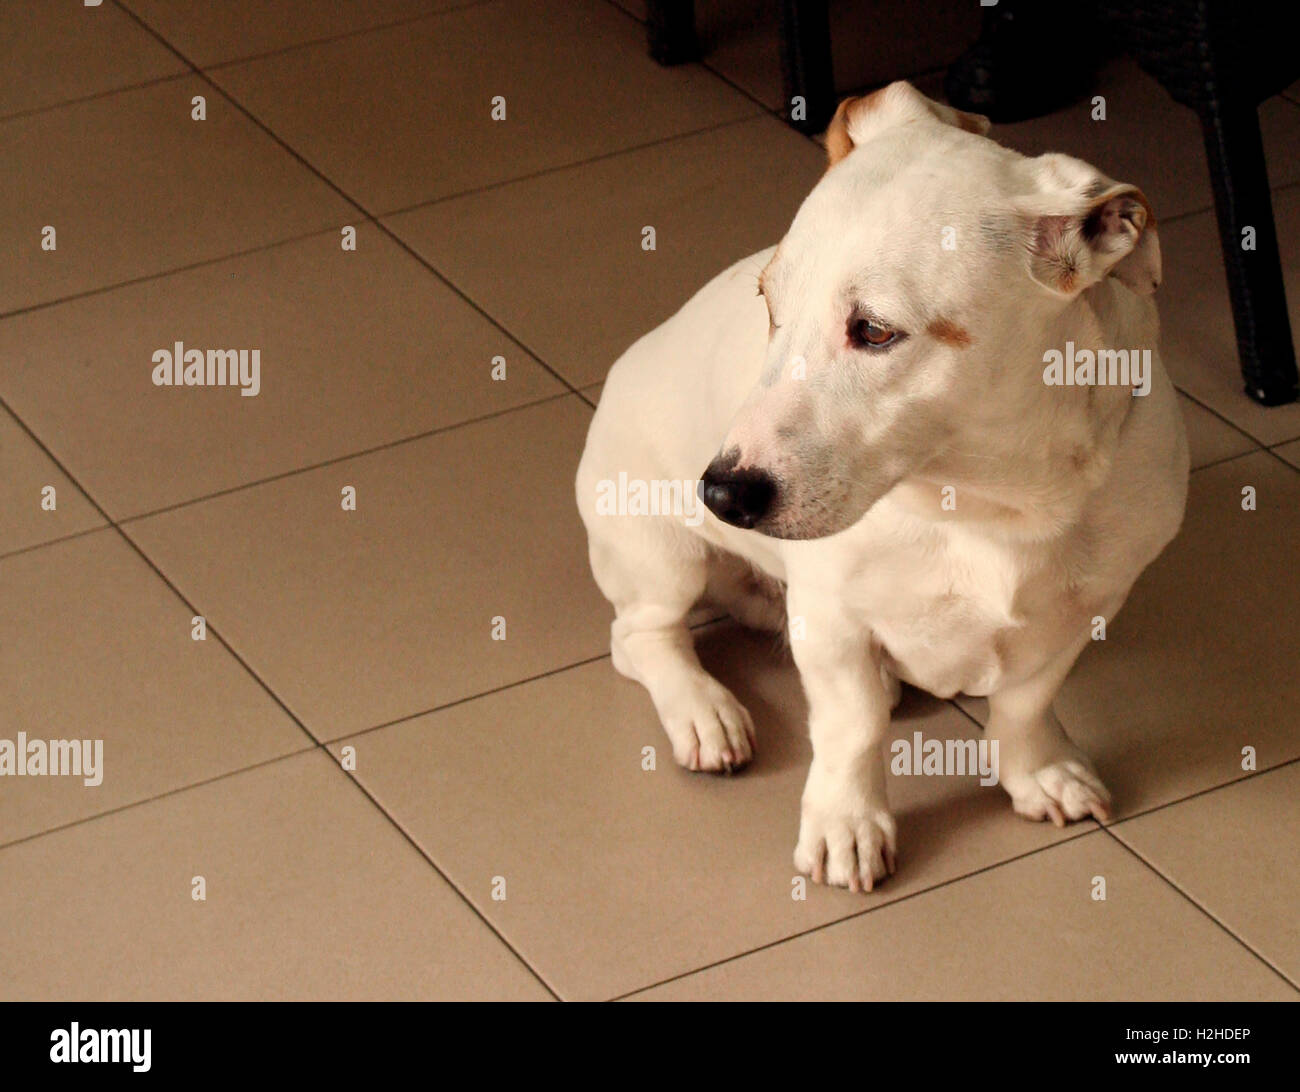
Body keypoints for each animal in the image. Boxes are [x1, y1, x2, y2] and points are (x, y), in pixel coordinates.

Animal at [577, 83, 1190, 889]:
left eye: (873, 331)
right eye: (769, 303)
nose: (721, 495)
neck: (986, 500)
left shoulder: (1086, 606)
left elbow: (1027, 702)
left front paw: (1039, 772)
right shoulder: (834, 619)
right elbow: (853, 727)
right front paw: (847, 824)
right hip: (660, 555)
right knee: (642, 636)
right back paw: (703, 712)